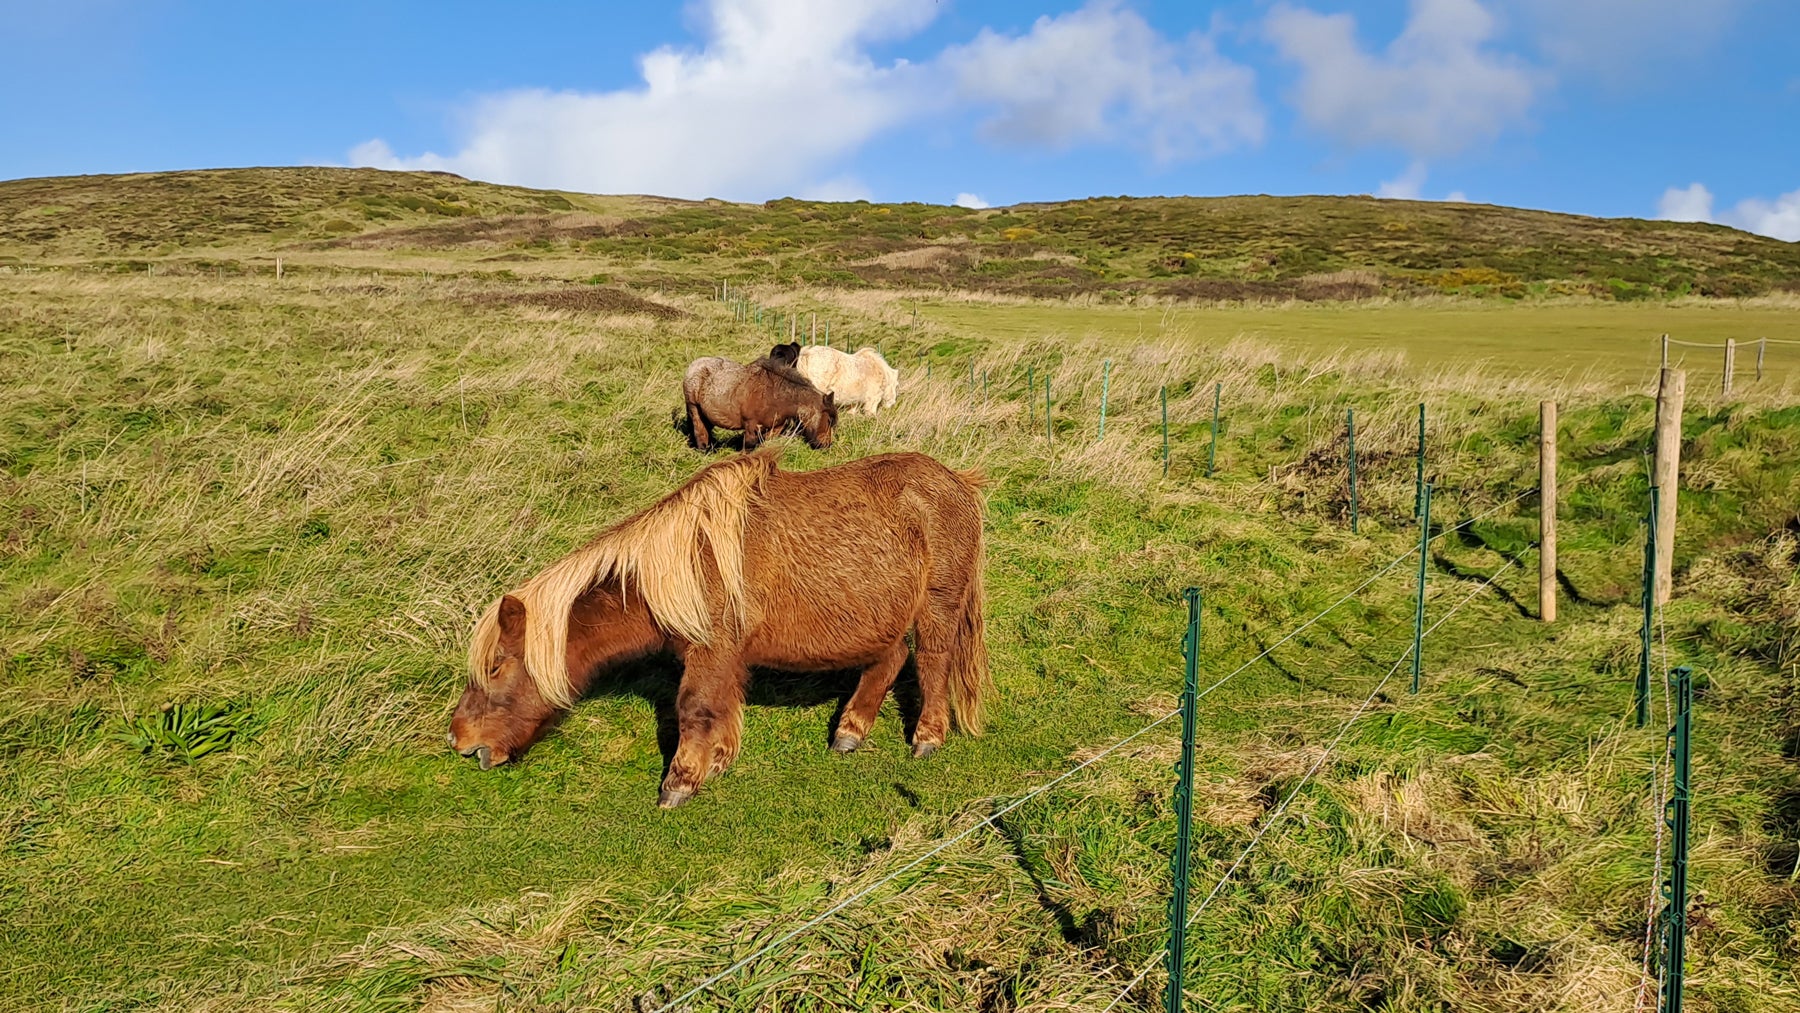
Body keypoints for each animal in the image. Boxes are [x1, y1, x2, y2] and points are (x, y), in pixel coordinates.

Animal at [449, 450, 991, 808]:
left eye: (495, 667)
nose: (459, 739)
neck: (679, 567)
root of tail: (957, 481)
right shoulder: (721, 656)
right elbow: (720, 707)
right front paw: (716, 762)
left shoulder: (710, 651)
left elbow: (694, 708)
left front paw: (681, 781)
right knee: (890, 660)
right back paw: (850, 731)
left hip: (937, 607)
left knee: (932, 661)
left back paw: (928, 736)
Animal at [683, 352, 836, 451]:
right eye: (829, 420)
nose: (827, 445)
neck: (775, 396)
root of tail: (694, 365)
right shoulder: (751, 425)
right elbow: (749, 446)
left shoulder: (776, 427)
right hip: (694, 407)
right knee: (699, 429)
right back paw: (704, 449)